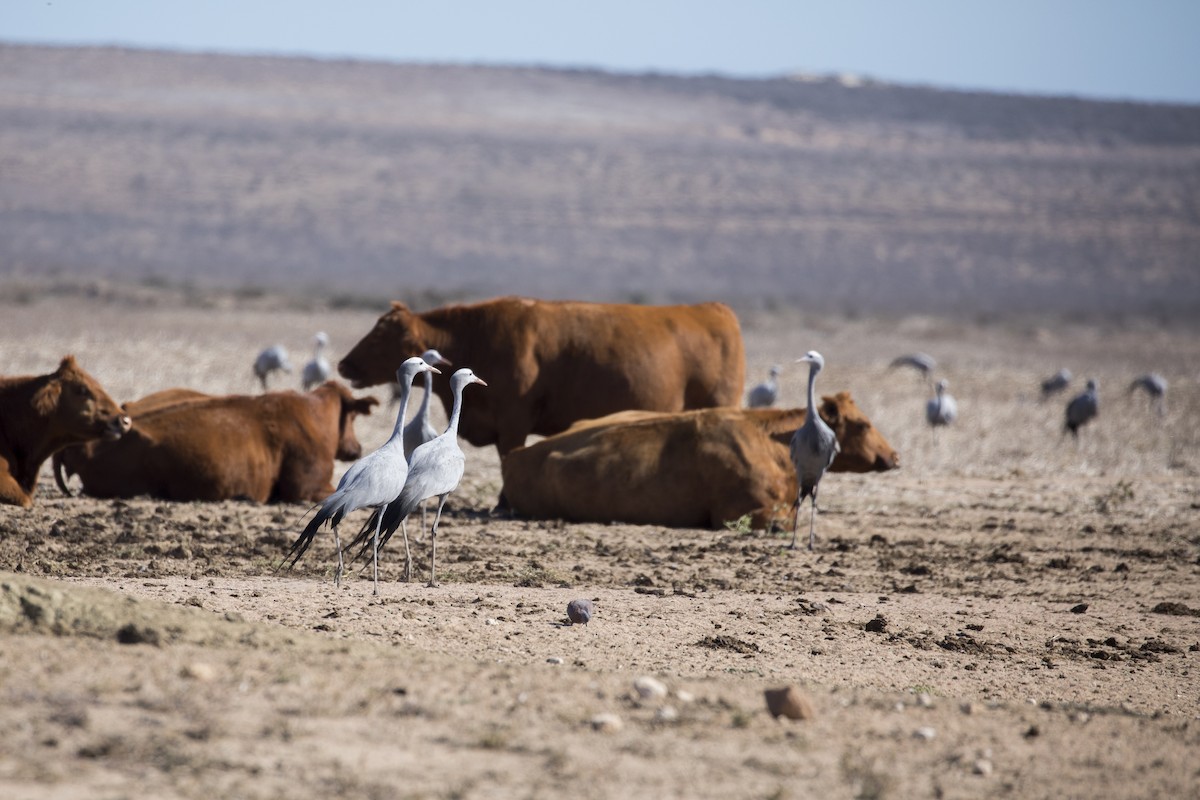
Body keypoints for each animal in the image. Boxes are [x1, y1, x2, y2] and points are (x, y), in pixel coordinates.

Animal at [338, 296, 744, 455]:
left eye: (380, 336)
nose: (343, 365)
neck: (477, 336)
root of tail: (713, 308)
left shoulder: (513, 420)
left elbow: (509, 456)